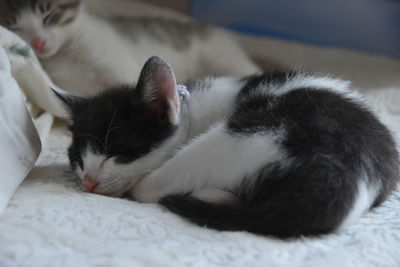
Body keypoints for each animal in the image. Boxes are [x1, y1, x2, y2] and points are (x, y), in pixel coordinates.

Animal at [0, 0, 260, 96]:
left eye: (48, 15)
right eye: (13, 25)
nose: (38, 42)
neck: (69, 52)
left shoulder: (120, 67)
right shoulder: (76, 85)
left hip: (225, 58)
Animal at [56, 57, 400, 239]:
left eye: (118, 150)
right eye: (78, 159)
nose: (89, 182)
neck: (195, 110)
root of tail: (349, 175)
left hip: (245, 136)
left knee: (152, 188)